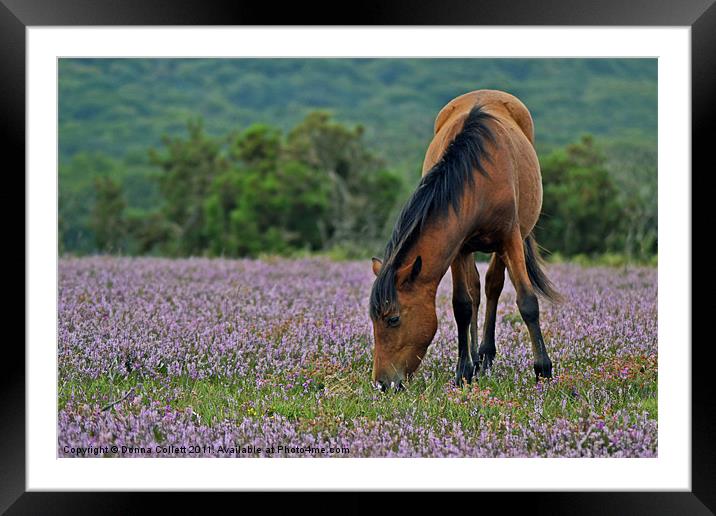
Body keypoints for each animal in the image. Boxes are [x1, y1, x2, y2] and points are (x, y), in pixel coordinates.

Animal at [370, 90, 560, 394]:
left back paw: (487, 354)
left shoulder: (510, 239)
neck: (478, 180)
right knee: (476, 292)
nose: (383, 383)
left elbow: (527, 302)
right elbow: (463, 305)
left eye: (393, 319)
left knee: (493, 286)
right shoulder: (457, 247)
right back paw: (476, 359)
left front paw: (543, 369)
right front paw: (463, 372)